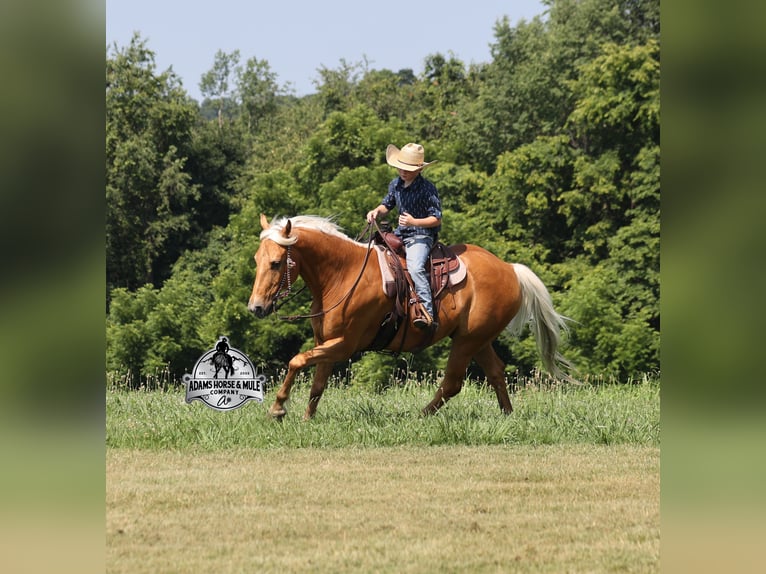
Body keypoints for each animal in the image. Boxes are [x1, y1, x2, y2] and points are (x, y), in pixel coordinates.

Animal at [248, 214, 573, 420]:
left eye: (276, 263)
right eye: (256, 260)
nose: (256, 308)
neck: (342, 274)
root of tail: (509, 269)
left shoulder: (344, 345)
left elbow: (296, 361)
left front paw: (278, 409)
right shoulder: (326, 341)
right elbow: (317, 384)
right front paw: (306, 419)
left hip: (468, 340)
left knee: (453, 382)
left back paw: (422, 415)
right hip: (478, 339)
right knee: (495, 372)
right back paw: (507, 415)